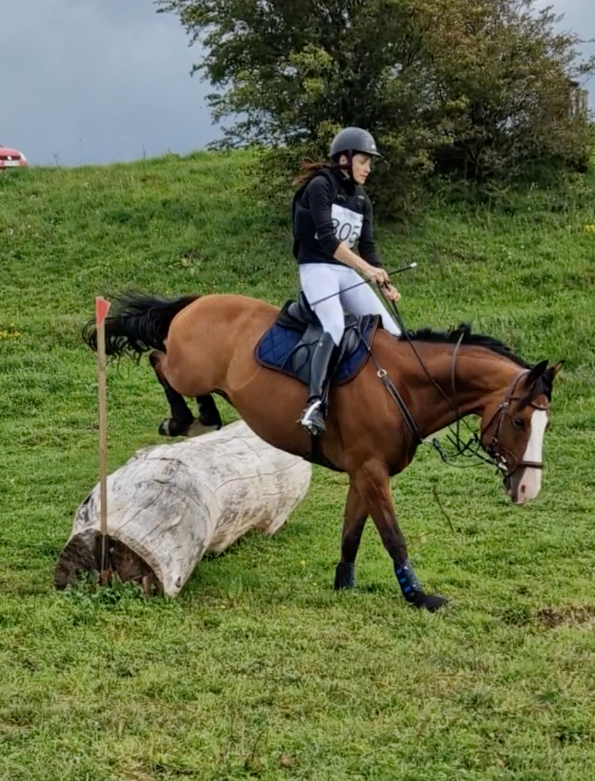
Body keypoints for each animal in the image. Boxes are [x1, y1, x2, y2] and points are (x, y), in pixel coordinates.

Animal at [85, 290, 564, 608]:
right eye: (520, 421)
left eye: (545, 423)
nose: (529, 490)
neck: (403, 383)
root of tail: (198, 300)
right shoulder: (371, 471)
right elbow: (392, 536)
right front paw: (418, 596)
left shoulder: (364, 472)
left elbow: (353, 531)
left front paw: (344, 583)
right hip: (188, 368)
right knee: (158, 360)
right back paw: (184, 417)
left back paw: (202, 413)